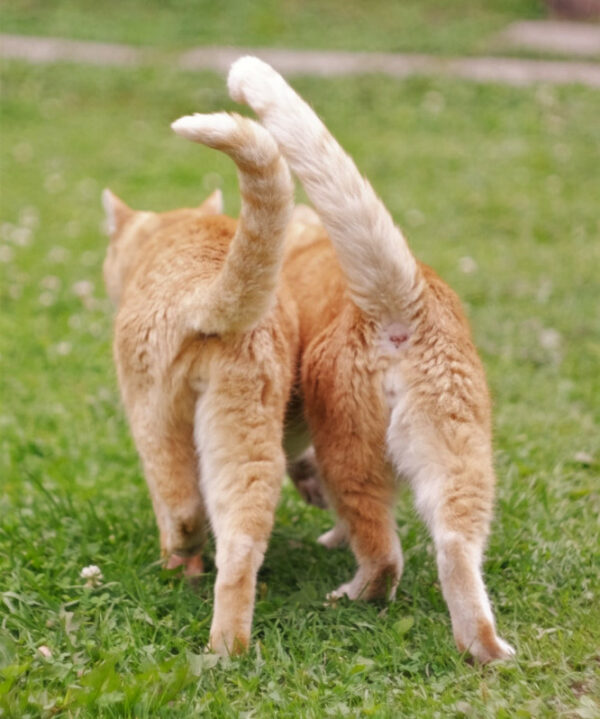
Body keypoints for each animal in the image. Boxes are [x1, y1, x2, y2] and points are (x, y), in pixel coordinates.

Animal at [105, 111, 300, 652]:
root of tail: (202, 288)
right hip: (247, 434)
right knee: (240, 544)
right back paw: (226, 649)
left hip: (155, 418)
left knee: (184, 505)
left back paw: (178, 568)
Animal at [230, 57, 516, 664]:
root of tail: (399, 298)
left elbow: (310, 477)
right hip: (460, 459)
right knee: (454, 551)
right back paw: (485, 649)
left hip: (351, 449)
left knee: (385, 551)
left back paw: (353, 593)